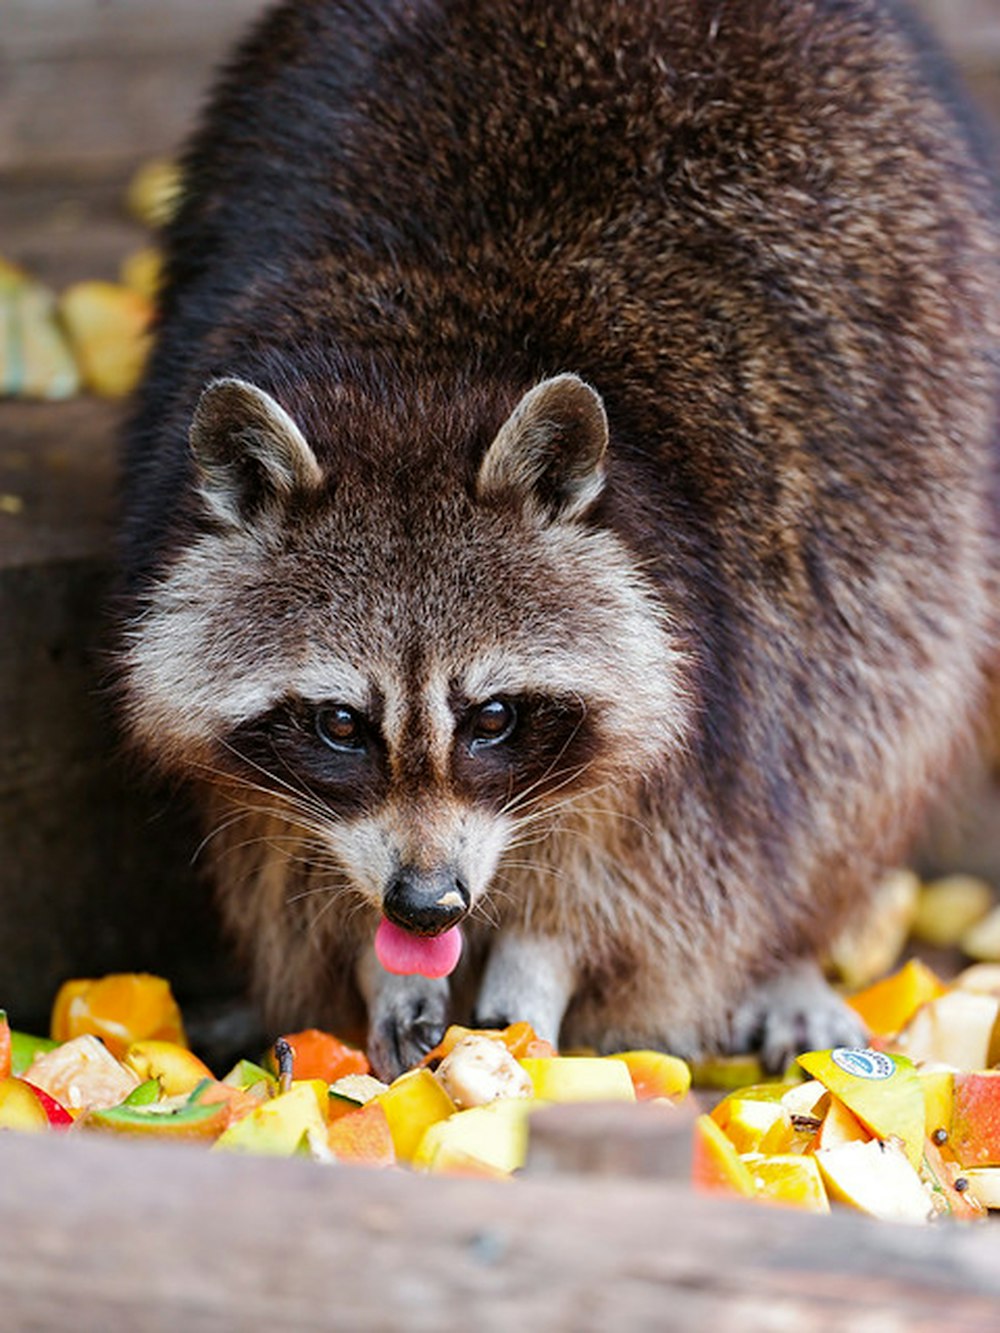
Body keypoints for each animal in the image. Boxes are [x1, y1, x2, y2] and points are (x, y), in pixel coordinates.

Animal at [117, 0, 1000, 1077]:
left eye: (494, 717)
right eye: (339, 723)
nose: (427, 903)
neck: (420, 368)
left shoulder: (719, 657)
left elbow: (664, 878)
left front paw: (544, 955)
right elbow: (283, 864)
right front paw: (377, 961)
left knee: (866, 716)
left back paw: (791, 947)